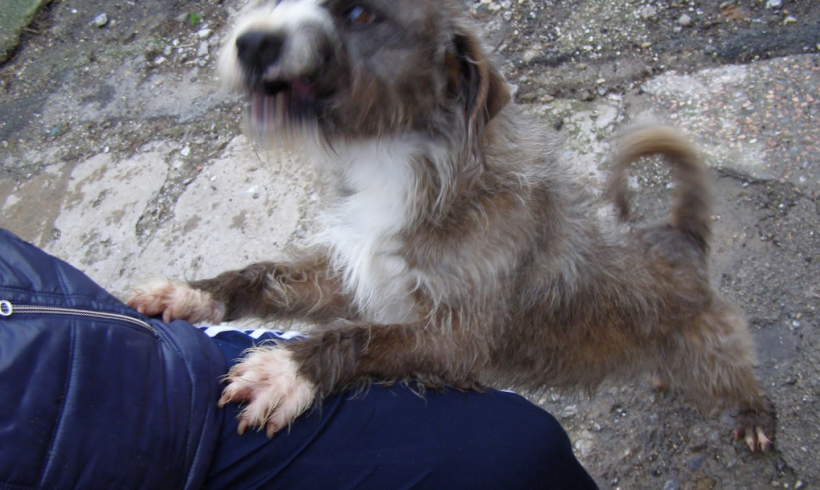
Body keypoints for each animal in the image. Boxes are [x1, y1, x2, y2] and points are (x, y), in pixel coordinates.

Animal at [128, 0, 776, 452]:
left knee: (744, 382)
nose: (252, 42)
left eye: (359, 12)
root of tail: (680, 236)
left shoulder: (455, 337)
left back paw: (754, 420)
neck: (393, 160)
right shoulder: (357, 275)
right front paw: (195, 294)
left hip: (715, 359)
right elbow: (267, 275)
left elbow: (358, 337)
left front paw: (288, 368)